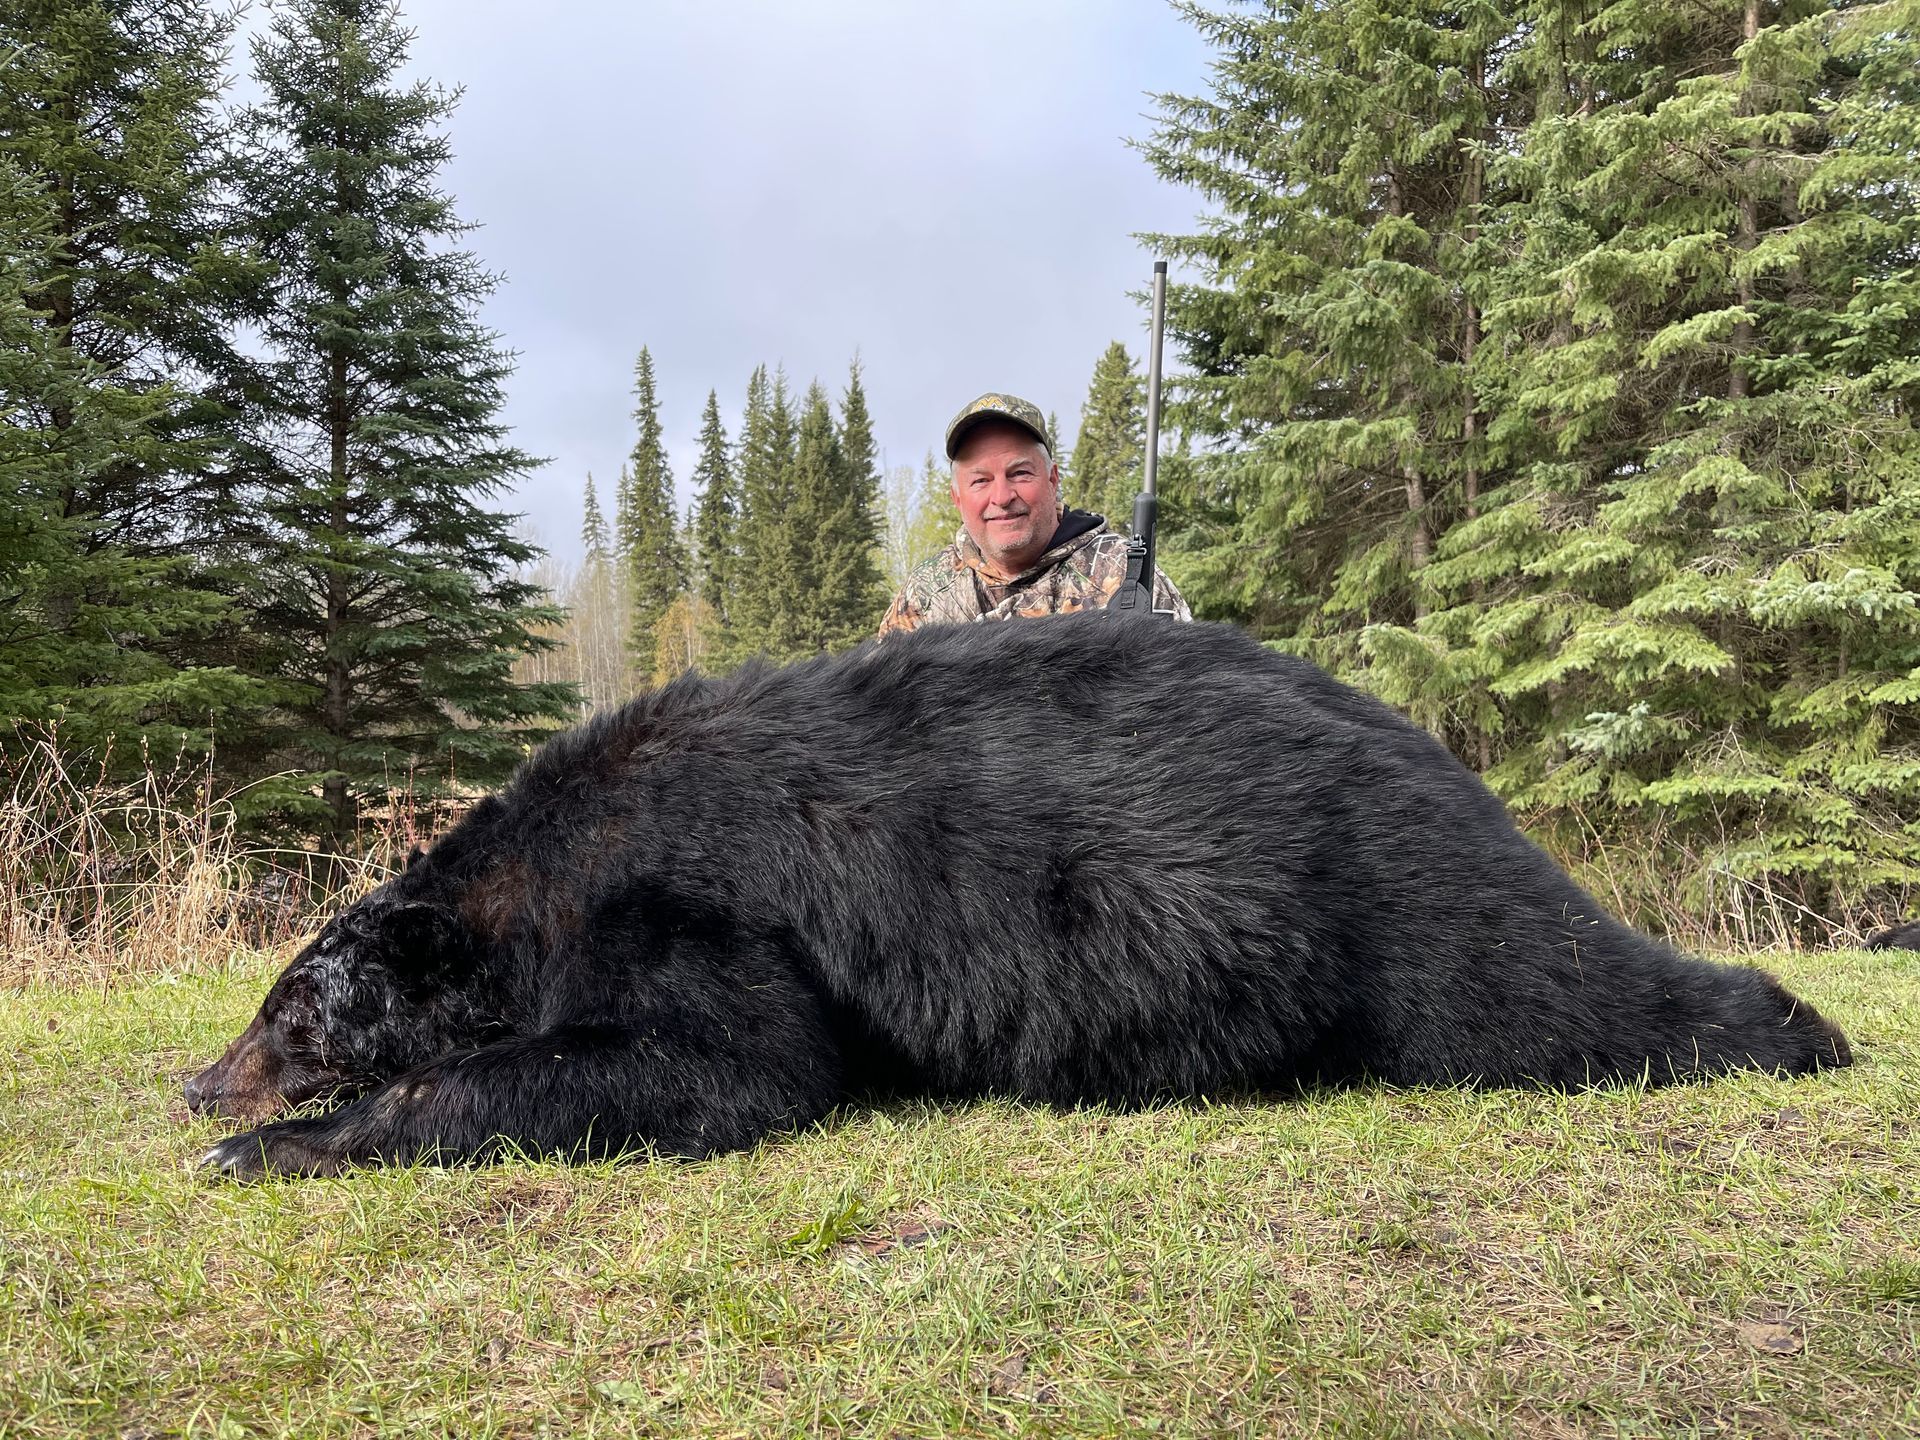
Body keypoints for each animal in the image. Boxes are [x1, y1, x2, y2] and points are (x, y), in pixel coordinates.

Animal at [184, 616, 1853, 1179]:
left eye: (290, 1015)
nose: (200, 1081)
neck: (539, 882)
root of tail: (1429, 751)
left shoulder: (695, 901)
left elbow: (727, 1064)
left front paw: (279, 1148)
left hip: (1397, 898)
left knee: (1554, 991)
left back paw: (1798, 1025)